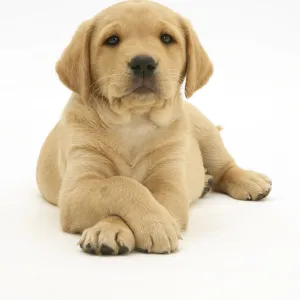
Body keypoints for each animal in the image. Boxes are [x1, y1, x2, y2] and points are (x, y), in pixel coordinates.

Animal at [35, 0, 272, 255]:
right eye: (112, 40)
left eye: (166, 38)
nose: (142, 62)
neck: (134, 122)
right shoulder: (76, 189)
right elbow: (121, 185)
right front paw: (114, 228)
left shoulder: (170, 186)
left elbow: (138, 191)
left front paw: (145, 224)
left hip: (204, 130)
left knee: (225, 166)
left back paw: (248, 180)